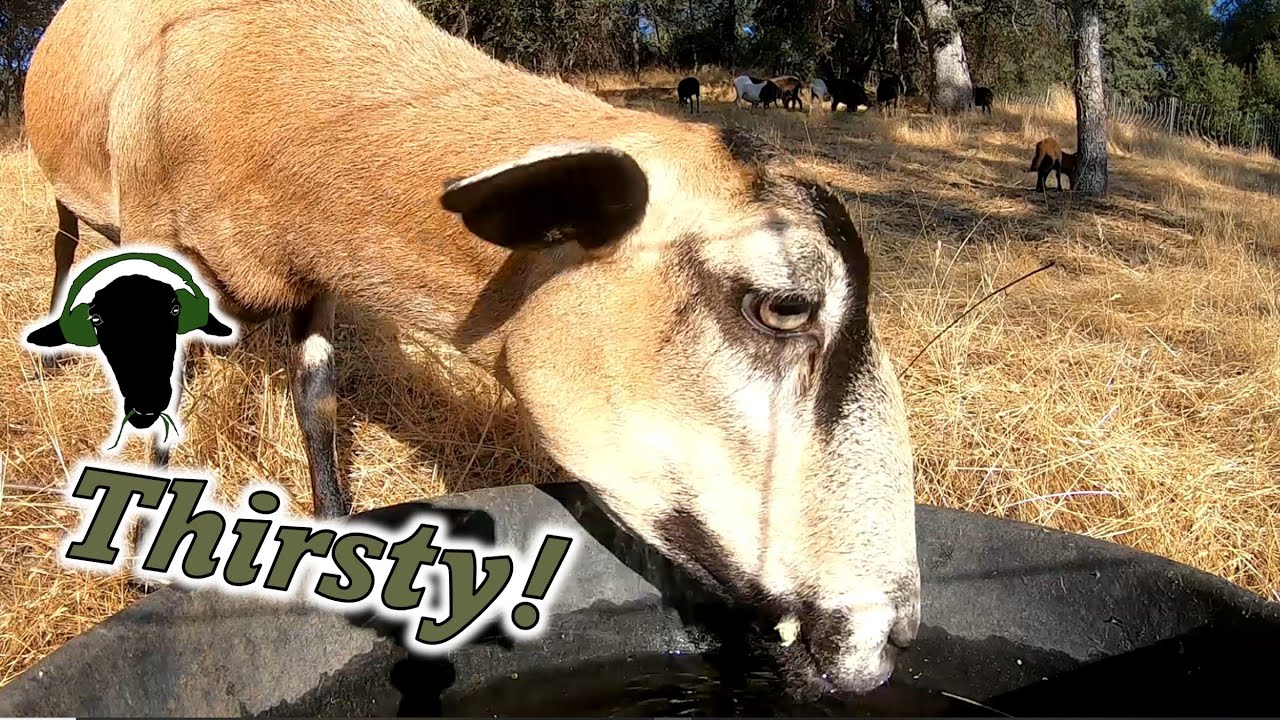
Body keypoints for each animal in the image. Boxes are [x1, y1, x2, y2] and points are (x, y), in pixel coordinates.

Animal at [24, 0, 921, 698]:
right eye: (784, 306)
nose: (898, 631)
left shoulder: (317, 275)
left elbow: (317, 397)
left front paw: (335, 525)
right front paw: (145, 564)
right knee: (64, 246)